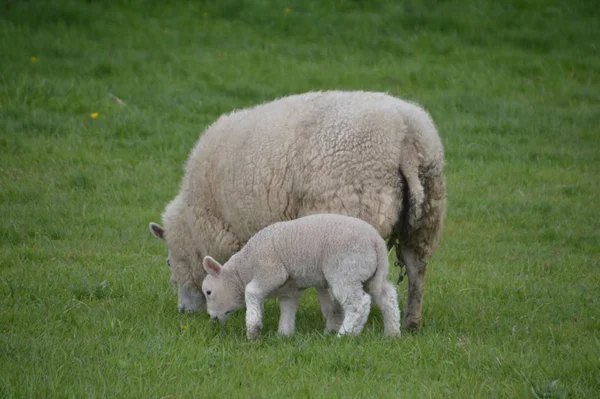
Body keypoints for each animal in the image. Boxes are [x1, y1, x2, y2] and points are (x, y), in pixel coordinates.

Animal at [199, 214, 400, 342]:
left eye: (208, 292)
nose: (211, 317)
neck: (245, 268)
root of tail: (376, 240)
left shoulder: (271, 271)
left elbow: (251, 292)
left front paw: (253, 330)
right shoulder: (289, 290)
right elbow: (287, 310)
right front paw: (284, 335)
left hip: (345, 270)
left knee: (359, 304)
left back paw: (345, 335)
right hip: (371, 273)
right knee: (387, 297)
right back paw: (392, 333)